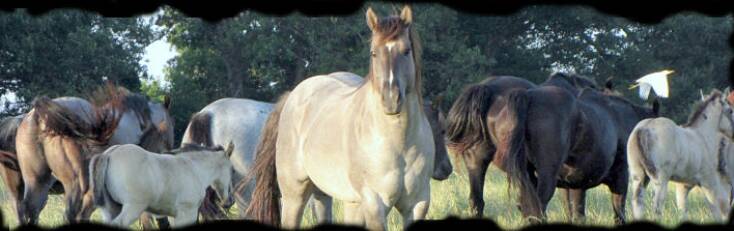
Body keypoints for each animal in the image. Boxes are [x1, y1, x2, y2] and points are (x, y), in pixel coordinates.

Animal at [89, 143, 234, 227]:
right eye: (232, 169)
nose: (229, 202)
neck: (193, 168)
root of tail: (109, 154)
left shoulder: (174, 216)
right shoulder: (188, 212)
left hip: (111, 208)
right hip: (133, 208)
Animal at [246, 6, 436, 230]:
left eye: (406, 51)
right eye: (373, 53)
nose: (391, 99)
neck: (398, 143)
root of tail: (293, 96)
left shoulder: (417, 204)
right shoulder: (374, 204)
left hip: (330, 196)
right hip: (294, 196)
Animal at [628, 89, 734, 221]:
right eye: (730, 110)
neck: (703, 137)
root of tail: (643, 128)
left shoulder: (683, 185)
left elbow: (682, 210)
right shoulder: (708, 182)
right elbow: (717, 210)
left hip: (638, 176)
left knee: (637, 203)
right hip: (660, 179)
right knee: (657, 207)